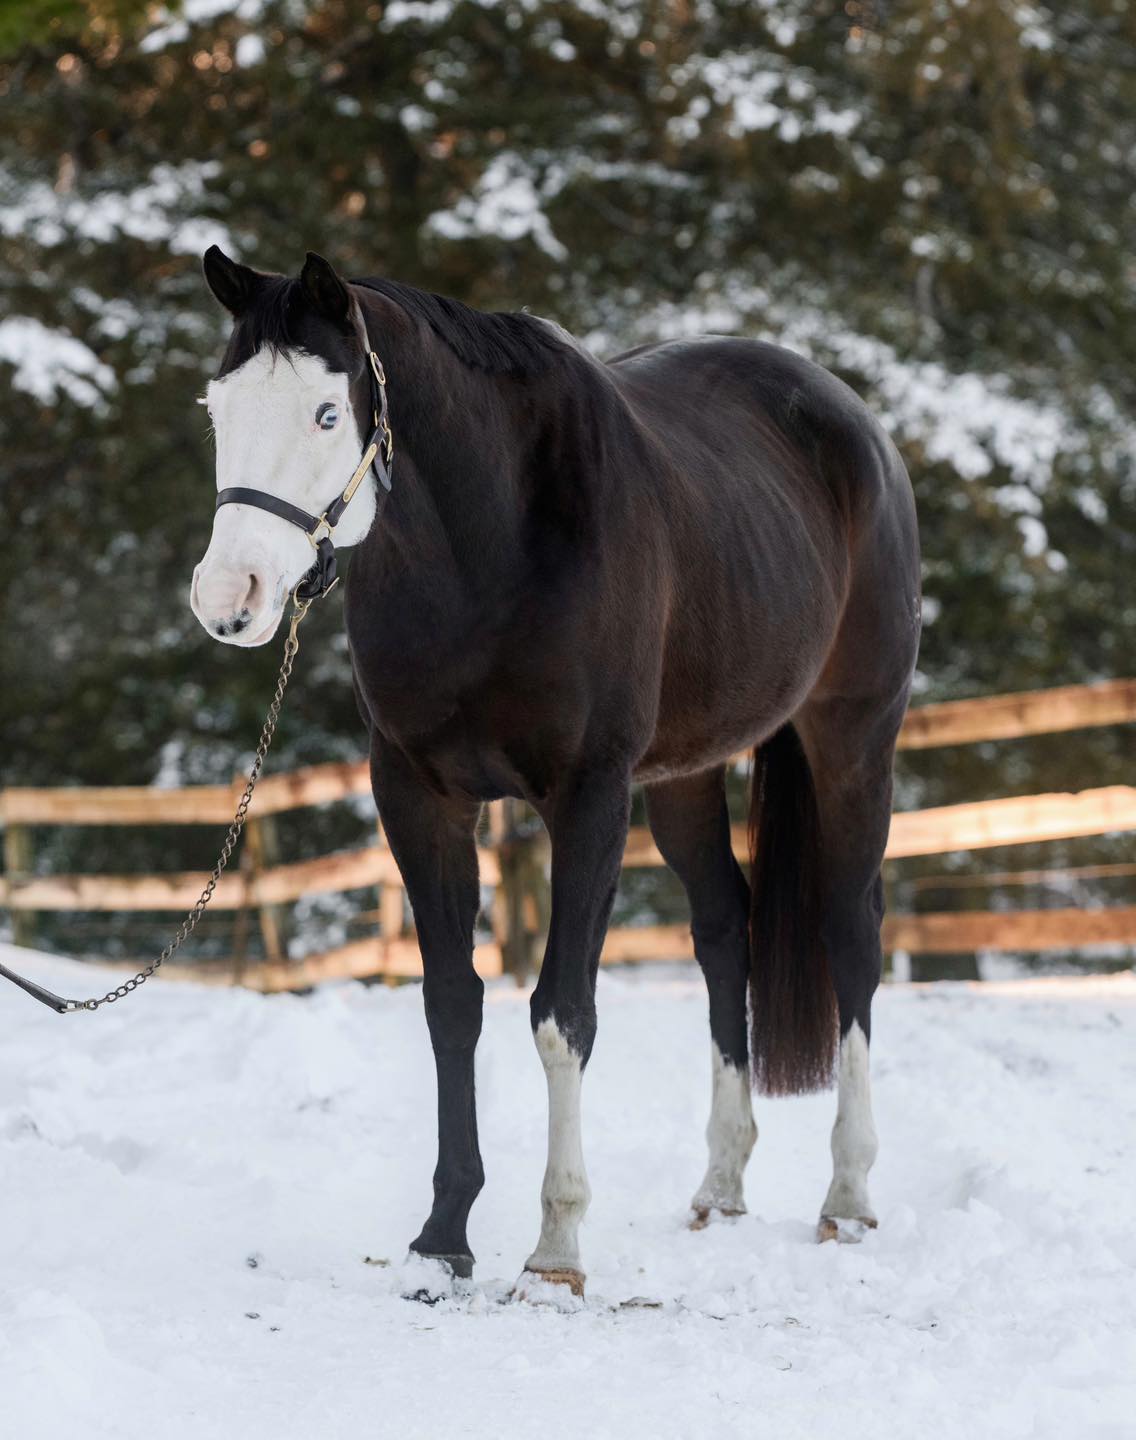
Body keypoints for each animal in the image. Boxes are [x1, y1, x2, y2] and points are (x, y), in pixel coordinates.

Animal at [191, 247, 921, 1296]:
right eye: (219, 410)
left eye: (327, 414)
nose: (229, 599)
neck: (493, 545)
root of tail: (855, 425)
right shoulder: (419, 796)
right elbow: (452, 1005)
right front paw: (442, 1238)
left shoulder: (587, 797)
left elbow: (560, 1014)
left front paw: (557, 1249)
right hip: (684, 778)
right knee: (724, 931)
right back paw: (721, 1186)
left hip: (853, 738)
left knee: (851, 933)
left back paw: (849, 1196)